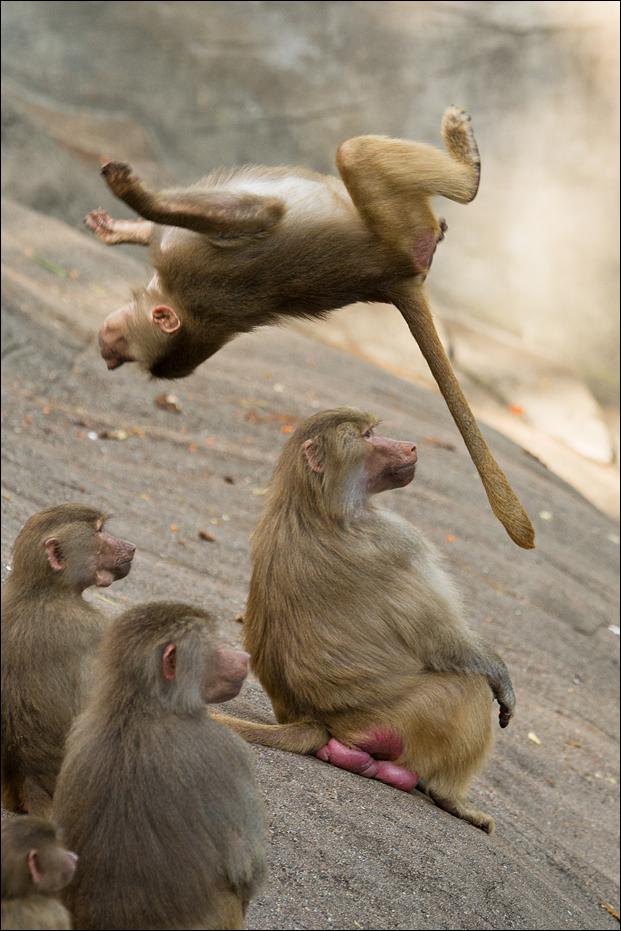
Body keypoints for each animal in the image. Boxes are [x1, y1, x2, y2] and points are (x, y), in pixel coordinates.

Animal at [86, 106, 535, 551]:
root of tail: (394, 279)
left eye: (122, 347)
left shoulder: (191, 265)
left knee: (353, 153)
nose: (106, 356)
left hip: (401, 231)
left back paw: (467, 170)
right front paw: (120, 227)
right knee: (357, 156)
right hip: (404, 233)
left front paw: (134, 197)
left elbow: (260, 214)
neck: (192, 310)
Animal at [213, 408, 516, 833]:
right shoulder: (398, 543)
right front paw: (502, 680)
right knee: (466, 688)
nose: (411, 446)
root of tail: (319, 721)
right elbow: (444, 642)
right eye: (369, 436)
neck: (316, 503)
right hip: (398, 719)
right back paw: (451, 799)